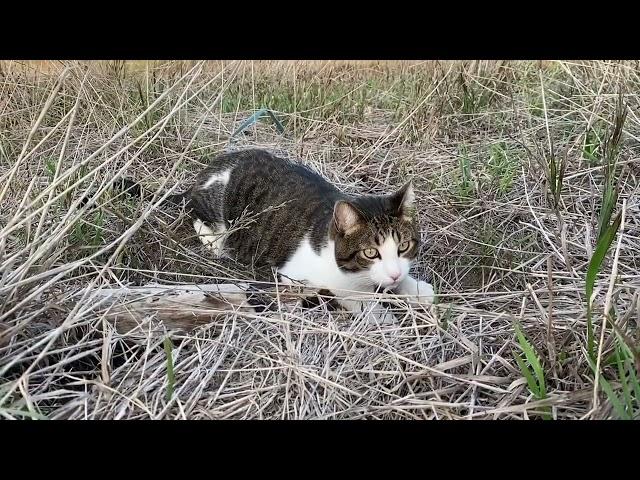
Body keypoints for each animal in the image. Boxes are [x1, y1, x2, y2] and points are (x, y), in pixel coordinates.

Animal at [162, 151, 432, 318]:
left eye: (404, 246)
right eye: (370, 253)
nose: (395, 275)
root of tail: (209, 170)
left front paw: (415, 288)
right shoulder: (296, 276)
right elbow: (347, 293)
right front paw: (379, 313)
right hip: (217, 207)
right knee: (195, 212)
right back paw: (214, 242)